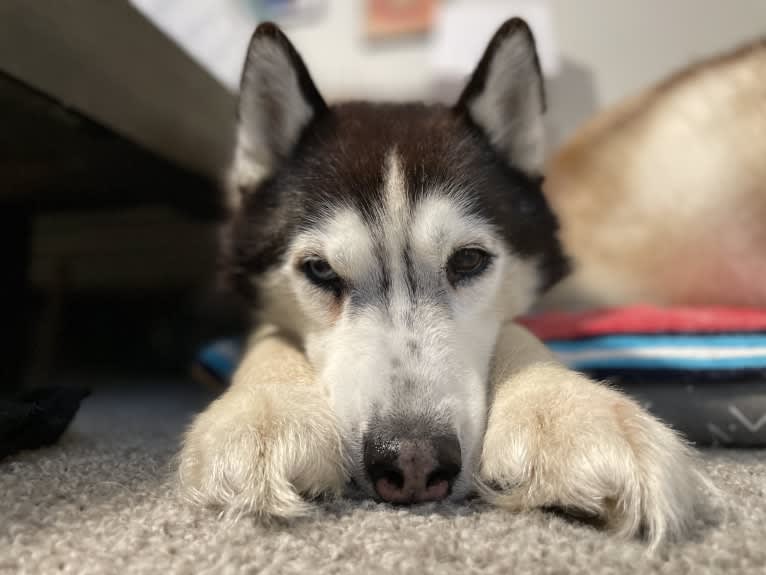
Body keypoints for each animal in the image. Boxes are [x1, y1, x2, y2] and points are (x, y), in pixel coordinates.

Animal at [177, 19, 712, 548]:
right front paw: (266, 413)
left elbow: (518, 329)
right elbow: (268, 335)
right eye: (321, 271)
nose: (412, 461)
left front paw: (568, 410)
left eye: (469, 261)